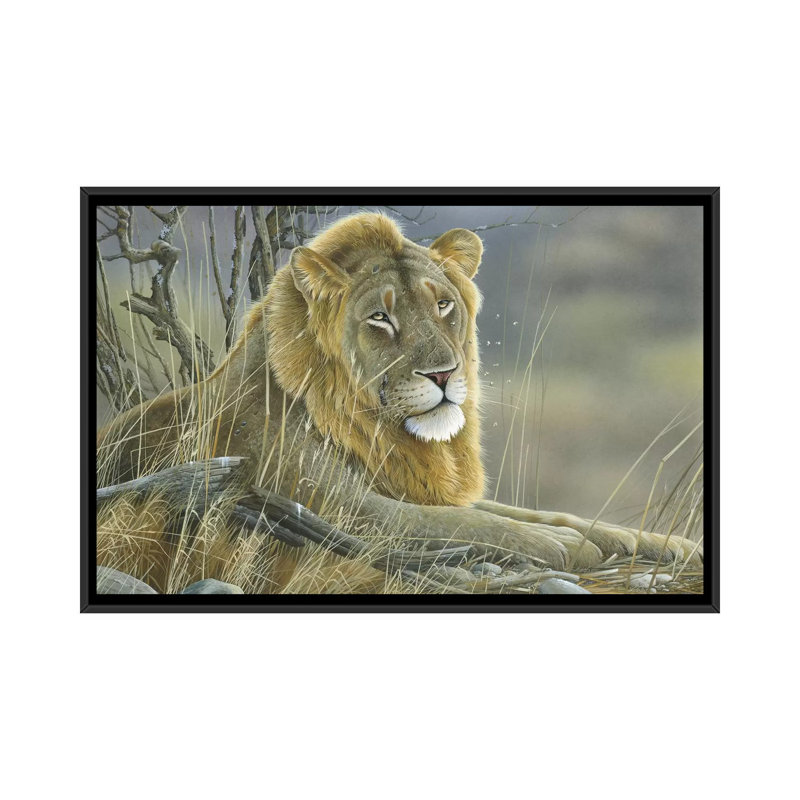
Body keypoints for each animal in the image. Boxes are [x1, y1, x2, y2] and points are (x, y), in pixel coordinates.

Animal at [97, 212, 700, 583]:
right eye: (380, 318)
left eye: (443, 305)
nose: (444, 374)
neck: (381, 431)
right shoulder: (337, 503)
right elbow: (467, 525)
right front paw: (566, 548)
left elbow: (543, 512)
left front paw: (670, 545)